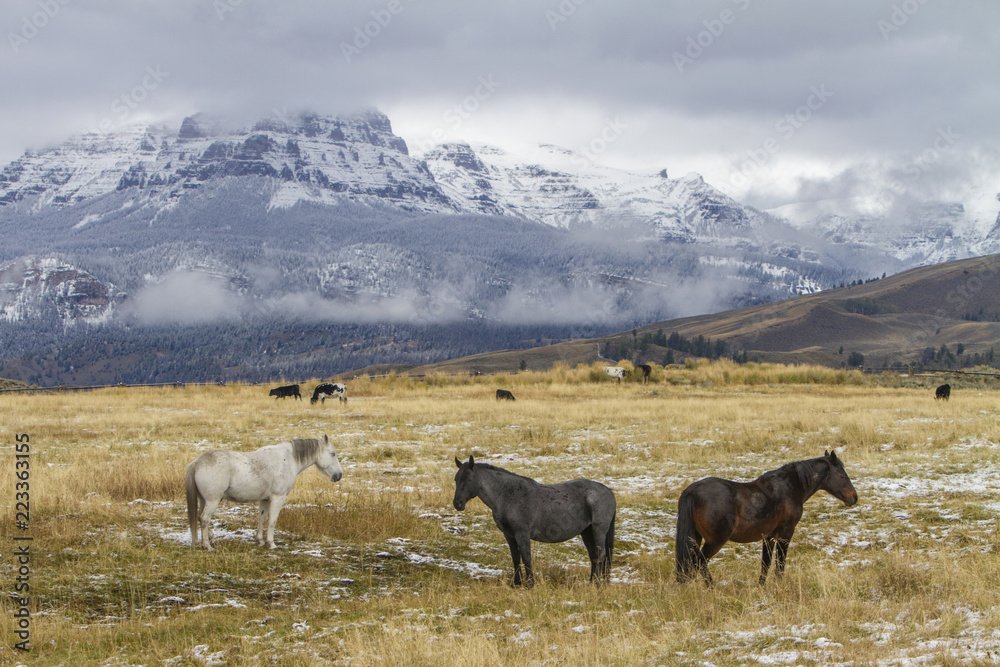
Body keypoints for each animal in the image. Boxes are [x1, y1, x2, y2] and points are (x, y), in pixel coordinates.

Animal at [185, 435, 343, 550]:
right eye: (333, 454)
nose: (339, 475)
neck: (288, 459)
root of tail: (197, 462)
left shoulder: (265, 499)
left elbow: (262, 518)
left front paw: (259, 540)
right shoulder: (278, 498)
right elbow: (272, 521)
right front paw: (271, 543)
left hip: (204, 500)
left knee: (199, 517)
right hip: (212, 501)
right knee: (204, 519)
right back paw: (207, 545)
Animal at [453, 455, 616, 586]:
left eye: (468, 479)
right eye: (456, 479)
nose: (457, 503)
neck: (509, 496)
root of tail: (608, 491)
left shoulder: (522, 533)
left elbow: (526, 558)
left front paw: (530, 584)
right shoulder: (509, 535)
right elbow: (515, 558)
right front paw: (516, 583)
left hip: (598, 530)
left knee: (601, 555)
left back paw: (597, 584)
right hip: (587, 532)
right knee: (594, 556)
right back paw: (592, 582)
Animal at [675, 450, 858, 586]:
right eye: (842, 476)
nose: (854, 497)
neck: (790, 486)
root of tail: (692, 491)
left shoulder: (768, 536)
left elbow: (766, 564)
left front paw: (762, 587)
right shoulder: (785, 533)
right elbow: (780, 564)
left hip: (695, 539)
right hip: (715, 541)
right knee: (699, 563)